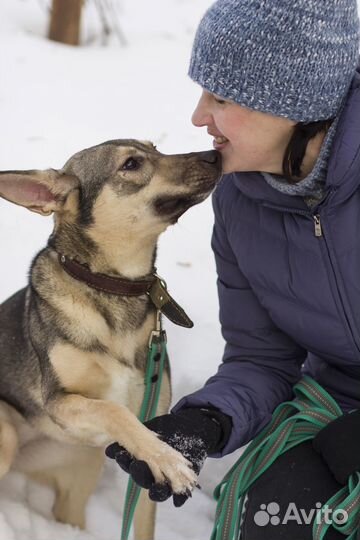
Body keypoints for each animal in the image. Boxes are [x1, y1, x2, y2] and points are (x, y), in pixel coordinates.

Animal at [0, 140, 222, 540]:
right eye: (131, 164)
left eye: (155, 147)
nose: (215, 154)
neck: (114, 288)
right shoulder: (58, 402)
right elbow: (111, 409)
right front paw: (169, 460)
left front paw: (163, 459)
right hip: (7, 433)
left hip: (78, 472)